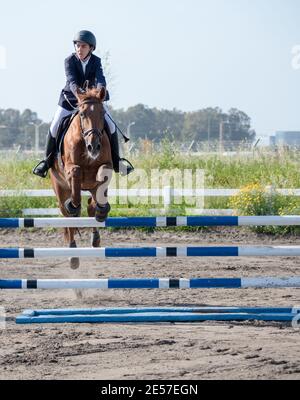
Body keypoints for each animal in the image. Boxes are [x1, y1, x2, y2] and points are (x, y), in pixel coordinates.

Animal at [50, 87, 112, 268]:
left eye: (102, 112)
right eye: (82, 114)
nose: (94, 146)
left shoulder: (106, 165)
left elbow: (102, 172)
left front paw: (102, 210)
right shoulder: (70, 168)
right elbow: (76, 172)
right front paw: (74, 205)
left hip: (90, 189)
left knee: (91, 205)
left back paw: (97, 232)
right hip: (60, 190)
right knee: (68, 217)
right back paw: (73, 256)